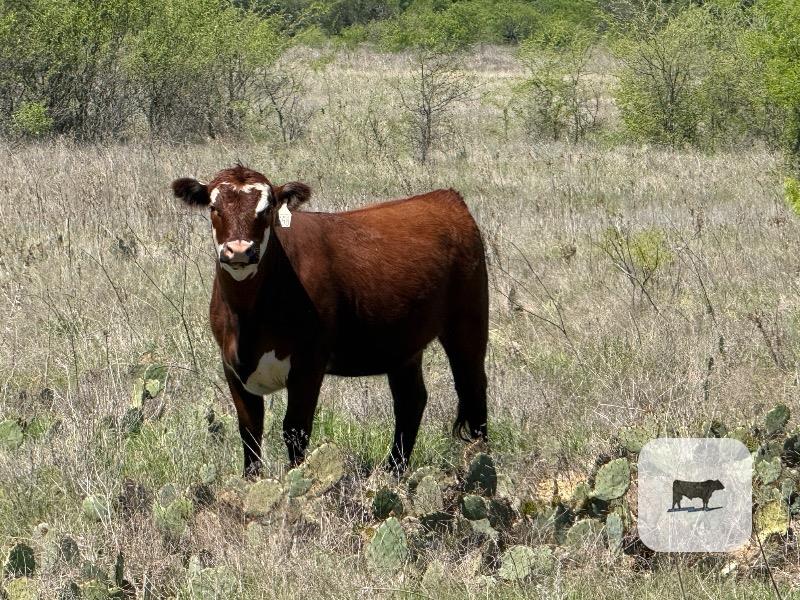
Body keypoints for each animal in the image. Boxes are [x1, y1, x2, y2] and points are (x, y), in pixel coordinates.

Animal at [172, 165, 489, 477]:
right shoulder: (231, 366)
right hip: (403, 346)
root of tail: (444, 197)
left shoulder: (308, 364)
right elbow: (250, 432)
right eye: (214, 207)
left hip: (468, 322)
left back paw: (480, 459)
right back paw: (394, 471)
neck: (248, 318)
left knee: (472, 386)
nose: (239, 250)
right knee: (411, 400)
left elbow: (295, 430)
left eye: (267, 208)